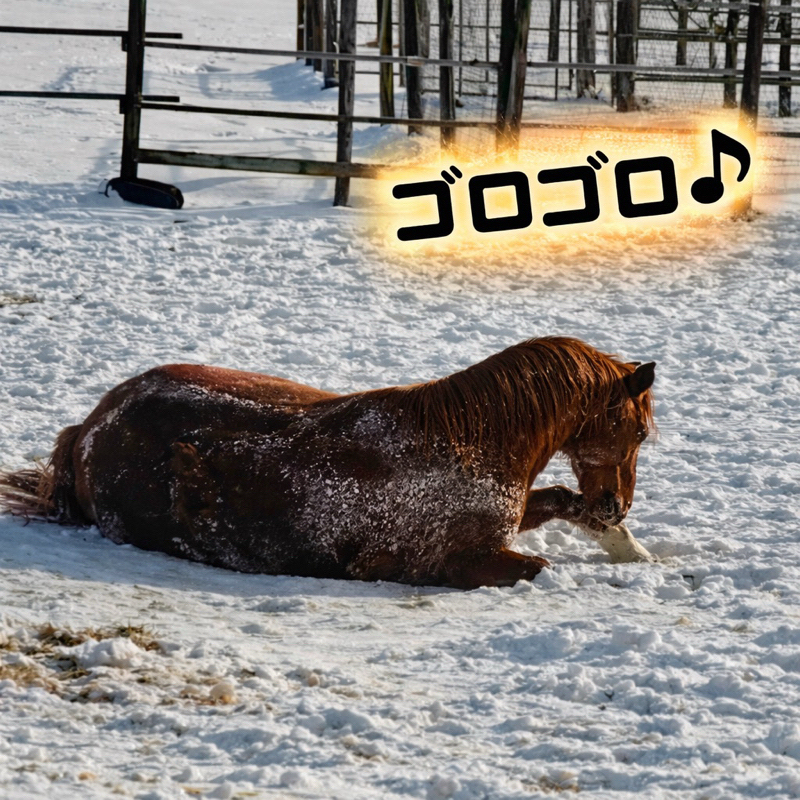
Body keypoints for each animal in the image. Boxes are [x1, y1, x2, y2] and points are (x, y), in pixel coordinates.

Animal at [0, 337, 655, 589]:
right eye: (640, 431)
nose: (617, 504)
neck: (473, 443)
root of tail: (88, 429)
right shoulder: (434, 563)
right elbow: (539, 565)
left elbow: (561, 502)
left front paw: (632, 549)